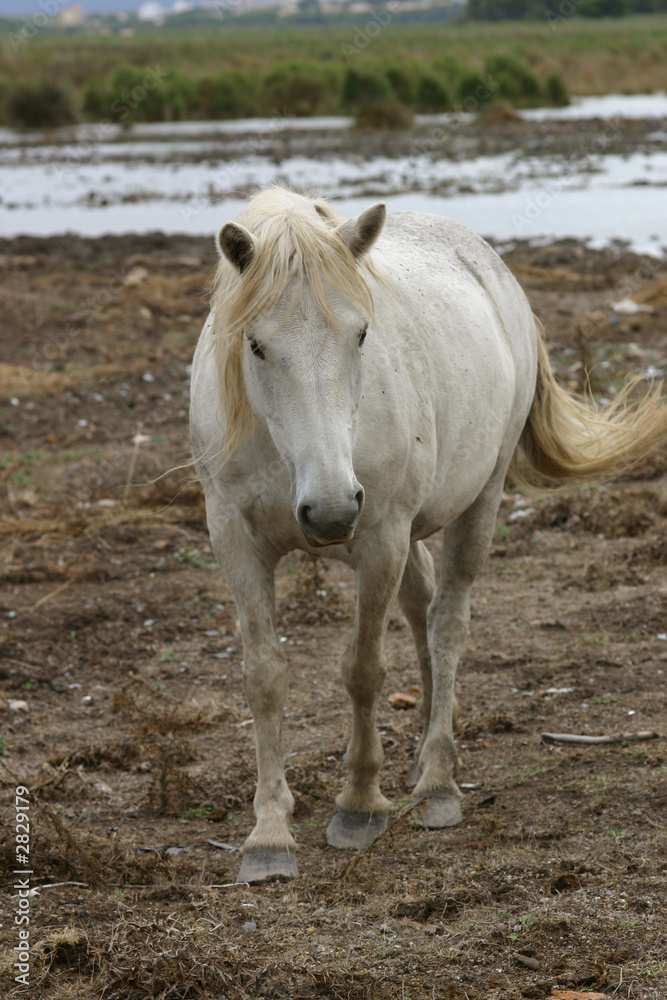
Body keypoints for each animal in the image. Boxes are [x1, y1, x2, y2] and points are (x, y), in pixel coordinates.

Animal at [190, 188, 664, 884]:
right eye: (255, 345)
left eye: (361, 333)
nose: (330, 512)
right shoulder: (235, 540)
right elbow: (264, 677)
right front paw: (269, 834)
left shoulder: (378, 538)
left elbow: (363, 669)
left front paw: (360, 803)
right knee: (421, 605)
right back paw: (425, 754)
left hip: (478, 500)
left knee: (447, 619)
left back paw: (438, 779)